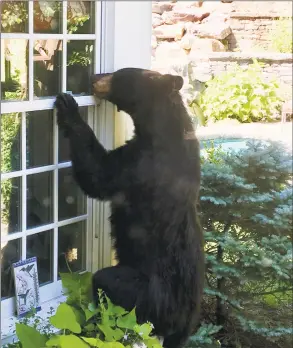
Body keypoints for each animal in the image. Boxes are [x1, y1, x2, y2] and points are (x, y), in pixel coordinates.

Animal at [55, 68, 205, 348]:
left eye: (119, 74)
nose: (93, 76)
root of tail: (182, 319)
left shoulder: (141, 165)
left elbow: (99, 174)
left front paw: (69, 107)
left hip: (145, 292)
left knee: (107, 284)